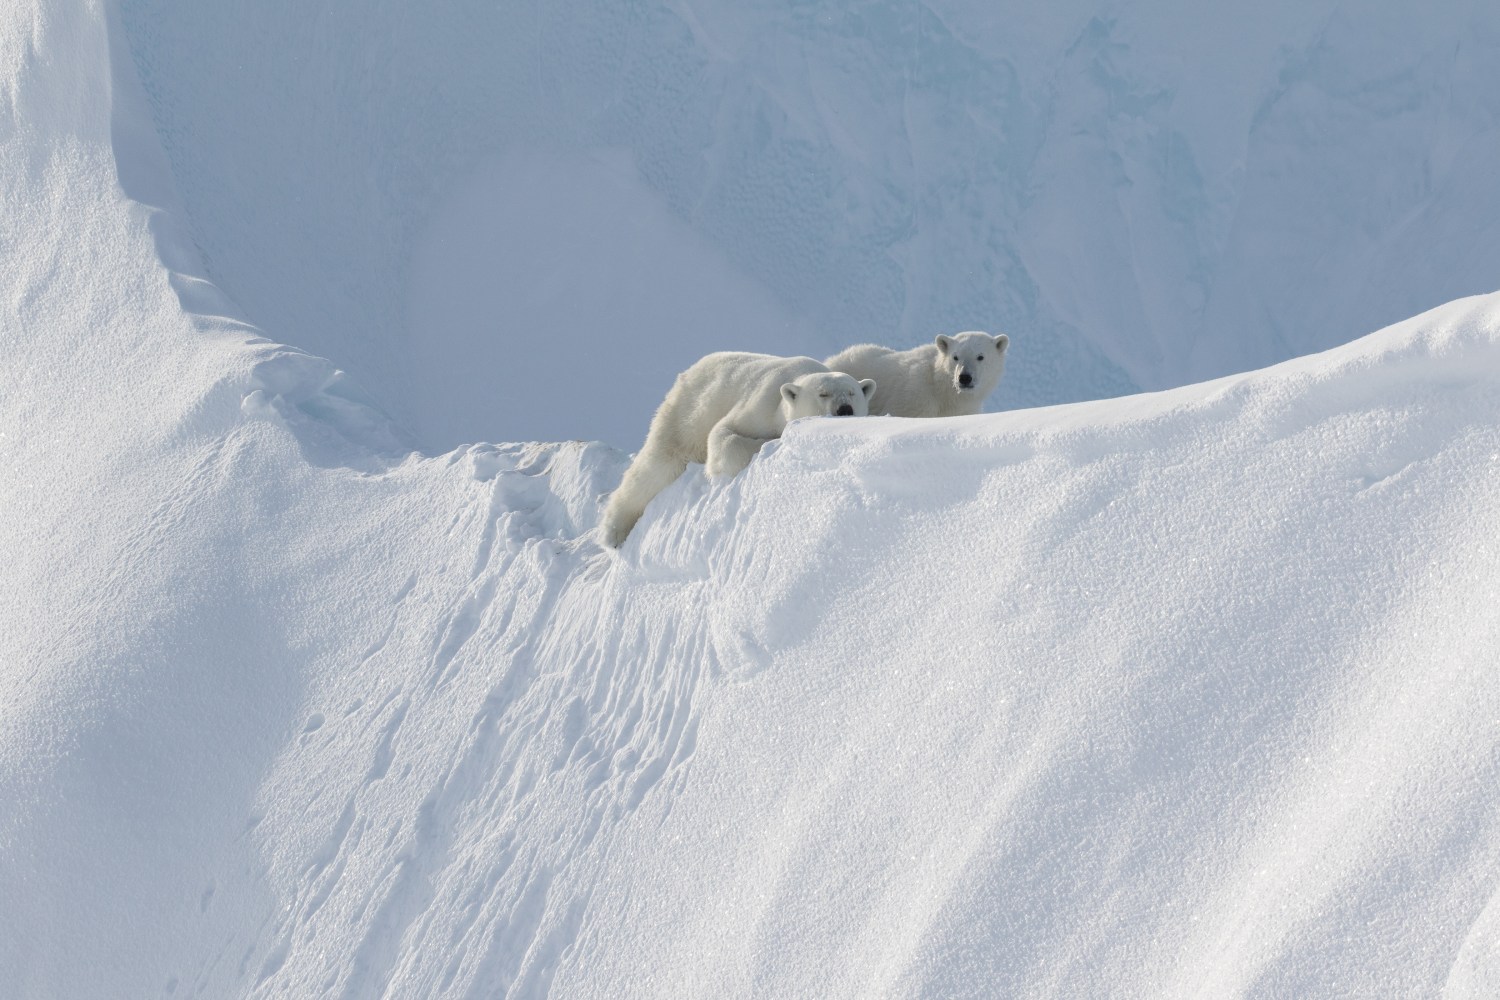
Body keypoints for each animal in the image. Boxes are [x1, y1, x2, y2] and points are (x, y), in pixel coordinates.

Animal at [600, 352, 876, 548]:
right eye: (823, 393)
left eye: (852, 392)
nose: (844, 409)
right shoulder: (760, 405)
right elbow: (723, 434)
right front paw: (765, 442)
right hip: (686, 415)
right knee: (656, 467)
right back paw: (613, 531)